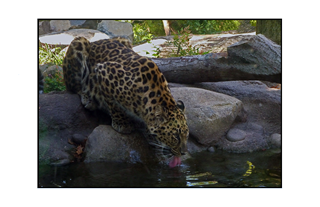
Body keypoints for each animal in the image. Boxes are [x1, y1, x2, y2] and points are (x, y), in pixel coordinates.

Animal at [61, 36, 189, 167]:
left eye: (187, 135)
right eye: (176, 136)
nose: (184, 153)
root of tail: (95, 41)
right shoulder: (104, 71)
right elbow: (113, 105)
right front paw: (122, 124)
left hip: (125, 40)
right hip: (79, 43)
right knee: (73, 87)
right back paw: (88, 99)